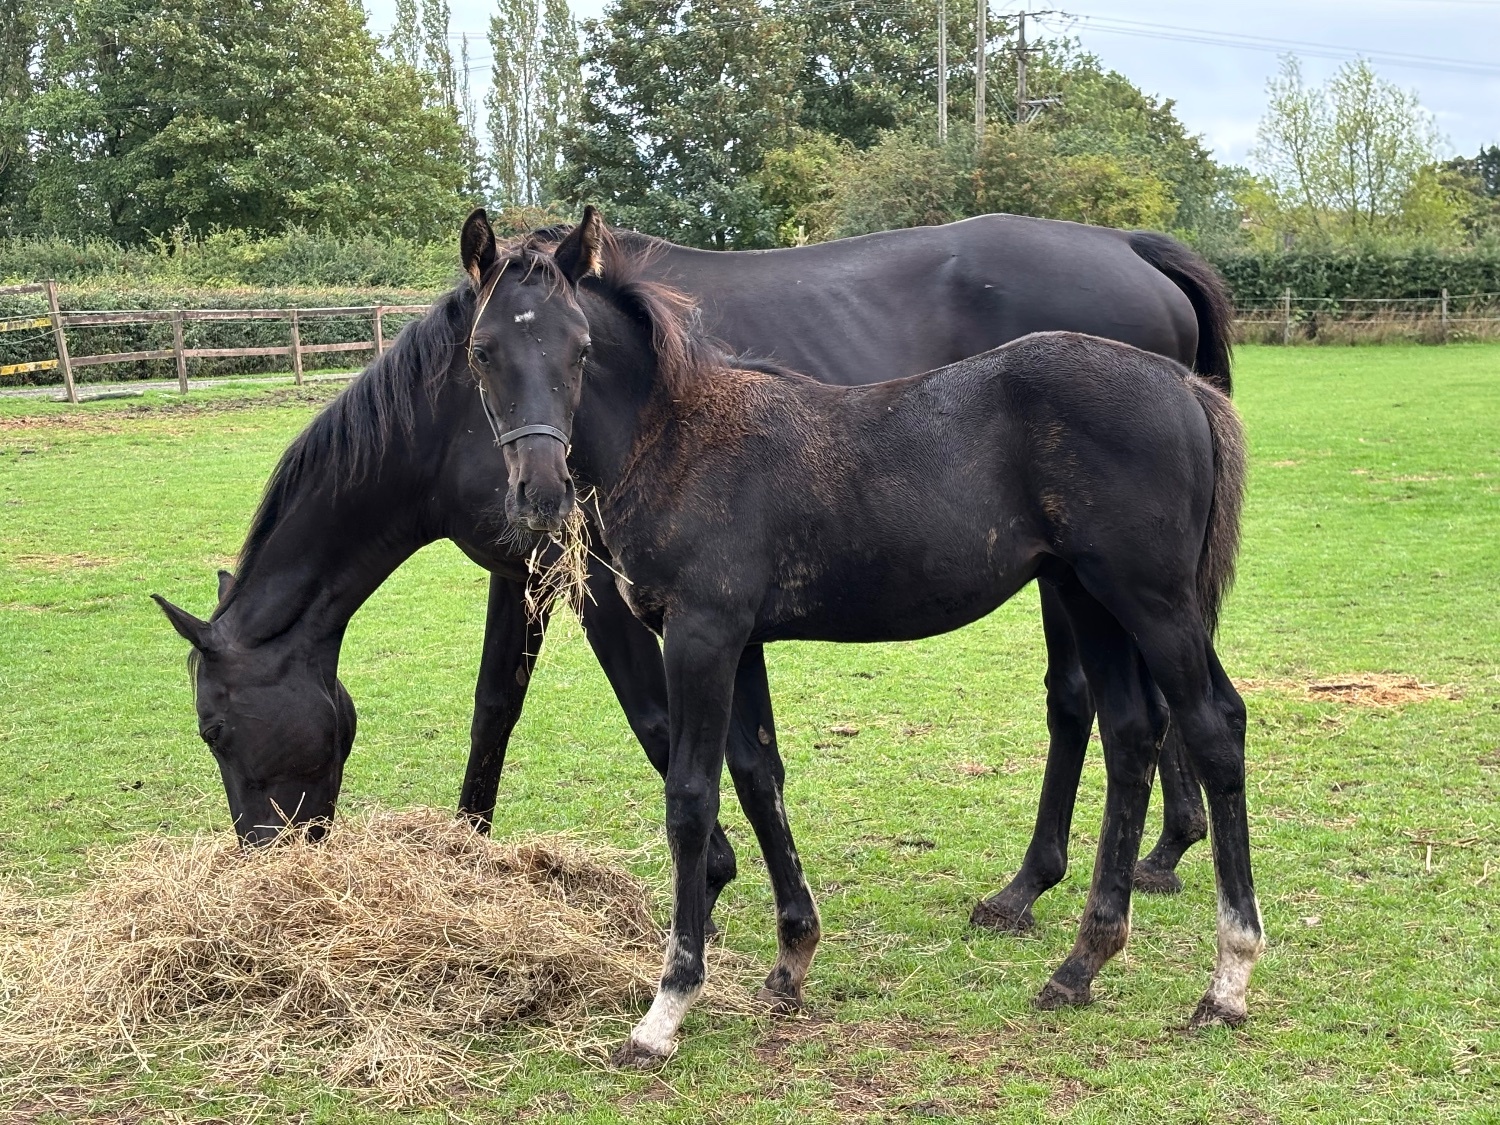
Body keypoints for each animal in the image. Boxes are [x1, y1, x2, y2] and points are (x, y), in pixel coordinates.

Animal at [152, 210, 1236, 917]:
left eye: (215, 727)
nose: (266, 860)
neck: (456, 414)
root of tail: (1131, 249)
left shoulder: (611, 592)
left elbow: (658, 720)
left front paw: (712, 867)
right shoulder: (523, 566)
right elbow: (495, 704)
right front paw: (469, 843)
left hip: (1084, 573)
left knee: (1084, 698)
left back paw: (1043, 879)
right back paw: (1161, 847)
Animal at [461, 208, 1262, 1068]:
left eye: (578, 348)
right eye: (483, 350)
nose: (539, 493)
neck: (683, 436)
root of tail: (1182, 385)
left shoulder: (701, 634)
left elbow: (691, 798)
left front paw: (665, 1009)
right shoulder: (742, 642)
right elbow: (760, 776)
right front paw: (791, 961)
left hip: (1153, 601)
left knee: (1213, 726)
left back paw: (1227, 980)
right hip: (1092, 598)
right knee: (1133, 731)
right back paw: (1081, 963)